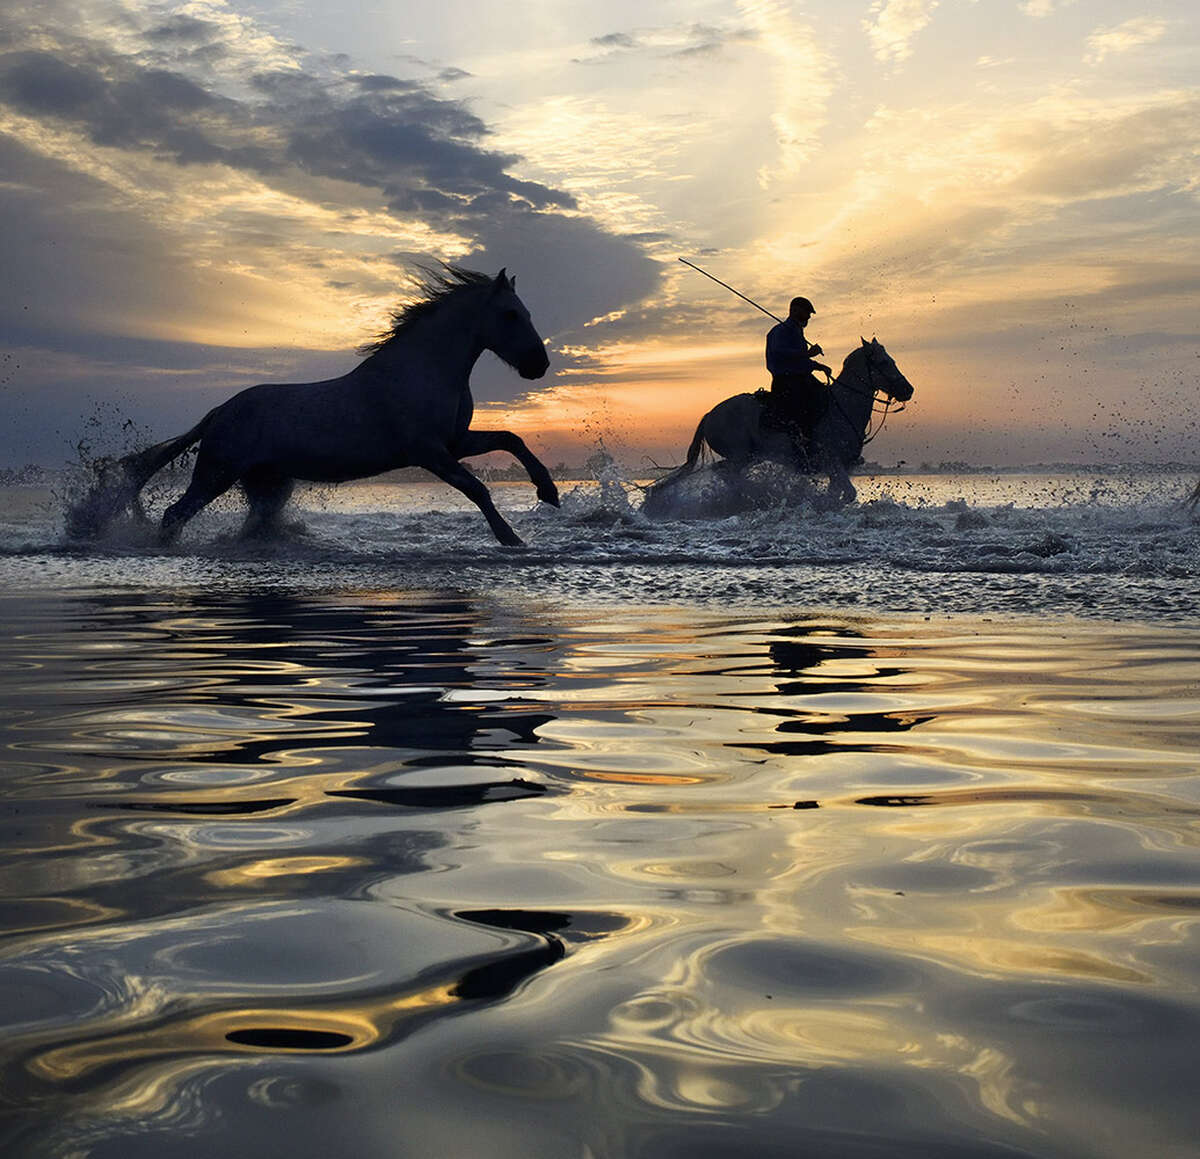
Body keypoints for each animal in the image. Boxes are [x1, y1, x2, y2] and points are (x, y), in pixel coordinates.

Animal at [72, 267, 559, 549]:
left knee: (254, 524)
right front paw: (511, 538)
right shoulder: (430, 452)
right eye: (511, 314)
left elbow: (512, 439)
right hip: (215, 473)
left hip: (266, 484)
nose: (539, 365)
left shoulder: (455, 442)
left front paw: (548, 492)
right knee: (175, 513)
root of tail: (219, 411)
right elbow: (476, 488)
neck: (423, 370)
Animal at [652, 340, 912, 513]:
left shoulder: (838, 467)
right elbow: (848, 493)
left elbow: (841, 492)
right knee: (727, 474)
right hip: (739, 456)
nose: (908, 390)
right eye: (883, 362)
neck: (842, 407)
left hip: (747, 457)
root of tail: (710, 415)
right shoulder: (832, 461)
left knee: (725, 473)